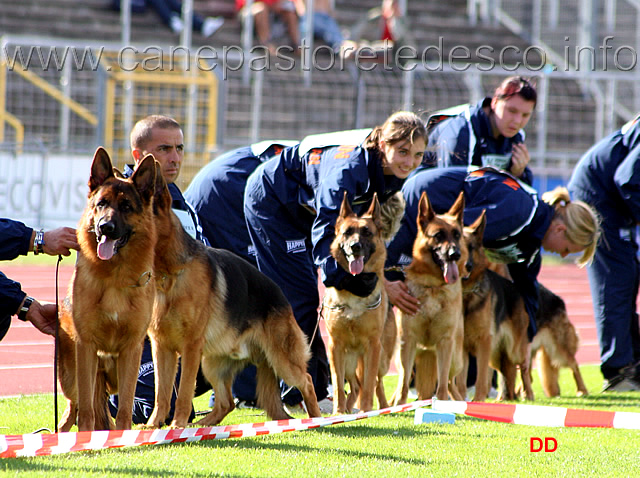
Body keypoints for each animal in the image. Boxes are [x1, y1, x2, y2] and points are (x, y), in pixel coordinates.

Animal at [66, 148, 158, 430]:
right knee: (75, 409)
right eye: (101, 204)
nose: (105, 227)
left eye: (126, 207)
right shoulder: (86, 347)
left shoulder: (132, 350)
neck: (115, 278)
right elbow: (87, 410)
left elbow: (126, 407)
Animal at [148, 166, 322, 428]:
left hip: (282, 360)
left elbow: (184, 391)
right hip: (211, 363)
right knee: (226, 403)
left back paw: (317, 418)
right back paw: (202, 425)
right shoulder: (162, 347)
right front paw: (154, 426)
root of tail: (281, 296)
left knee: (308, 381)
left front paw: (176, 426)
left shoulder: (190, 348)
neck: (170, 272)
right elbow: (162, 392)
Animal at [322, 192, 392, 412]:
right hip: (350, 363)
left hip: (381, 360)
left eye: (367, 232)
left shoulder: (372, 346)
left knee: (376, 382)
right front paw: (337, 412)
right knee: (354, 386)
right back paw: (346, 410)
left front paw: (366, 411)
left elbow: (369, 384)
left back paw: (383, 407)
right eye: (347, 232)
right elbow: (337, 385)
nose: (355, 247)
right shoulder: (335, 347)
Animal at [388, 191, 468, 404]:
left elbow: (441, 387)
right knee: (402, 380)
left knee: (449, 383)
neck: (432, 286)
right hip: (403, 356)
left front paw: (441, 404)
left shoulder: (445, 343)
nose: (455, 254)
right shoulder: (407, 342)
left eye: (457, 235)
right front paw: (398, 405)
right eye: (438, 235)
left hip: (455, 359)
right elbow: (403, 386)